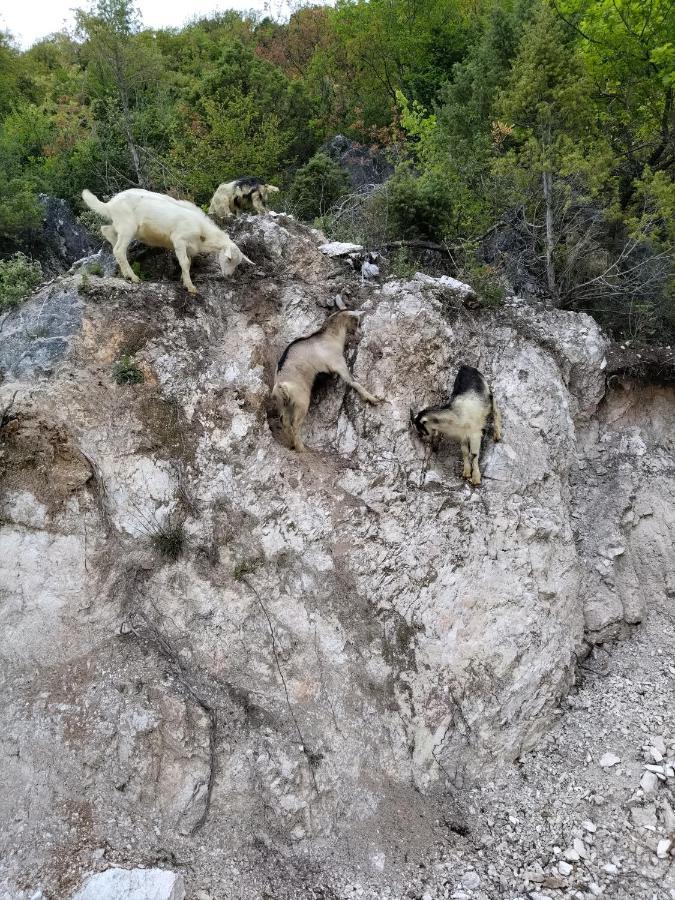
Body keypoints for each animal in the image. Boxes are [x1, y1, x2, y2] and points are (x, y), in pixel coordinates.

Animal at [83, 188, 252, 294]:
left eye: (237, 262)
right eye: (229, 259)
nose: (228, 276)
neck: (202, 230)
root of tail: (109, 204)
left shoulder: (189, 247)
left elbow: (188, 263)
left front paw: (183, 280)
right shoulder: (179, 240)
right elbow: (184, 263)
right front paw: (190, 287)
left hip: (120, 225)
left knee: (107, 231)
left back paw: (124, 271)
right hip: (127, 226)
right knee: (118, 249)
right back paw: (133, 277)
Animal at [272, 312, 382, 454]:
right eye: (357, 322)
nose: (361, 333)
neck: (329, 337)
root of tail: (281, 385)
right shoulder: (338, 363)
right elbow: (353, 382)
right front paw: (372, 399)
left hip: (282, 405)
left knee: (285, 423)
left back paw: (292, 444)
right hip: (301, 402)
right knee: (295, 424)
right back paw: (301, 448)